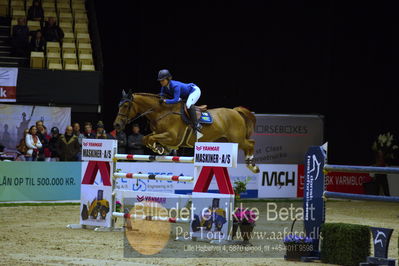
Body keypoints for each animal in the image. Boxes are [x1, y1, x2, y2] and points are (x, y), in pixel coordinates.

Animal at [114, 91, 260, 174]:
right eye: (119, 105)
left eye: (125, 106)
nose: (116, 125)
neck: (161, 112)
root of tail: (235, 111)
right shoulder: (158, 133)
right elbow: (146, 138)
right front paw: (161, 148)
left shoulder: (173, 137)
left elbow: (151, 139)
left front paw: (160, 148)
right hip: (224, 140)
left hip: (237, 139)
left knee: (251, 143)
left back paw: (252, 165)